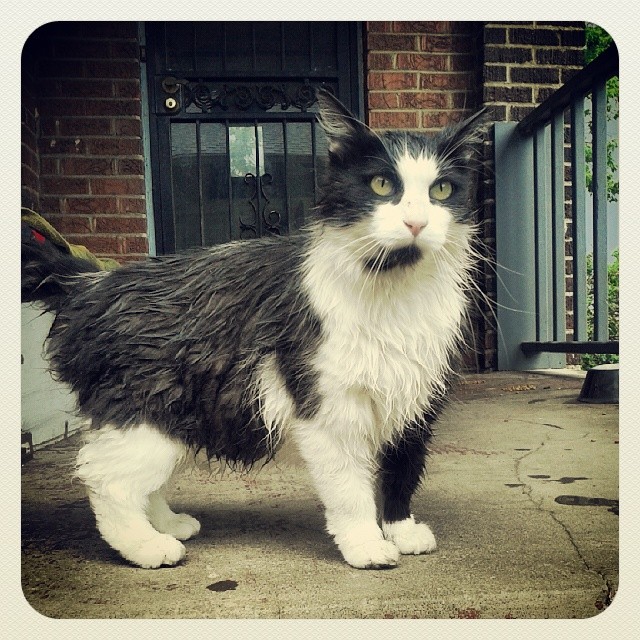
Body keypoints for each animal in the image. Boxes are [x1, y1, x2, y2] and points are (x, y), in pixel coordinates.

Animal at [21, 89, 484, 568]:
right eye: (381, 185)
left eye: (442, 190)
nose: (417, 223)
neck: (395, 292)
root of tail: (92, 281)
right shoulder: (327, 408)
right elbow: (350, 490)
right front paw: (366, 545)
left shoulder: (417, 398)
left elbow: (403, 470)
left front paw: (400, 530)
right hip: (146, 412)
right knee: (105, 479)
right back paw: (147, 546)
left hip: (173, 419)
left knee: (138, 482)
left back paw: (167, 524)